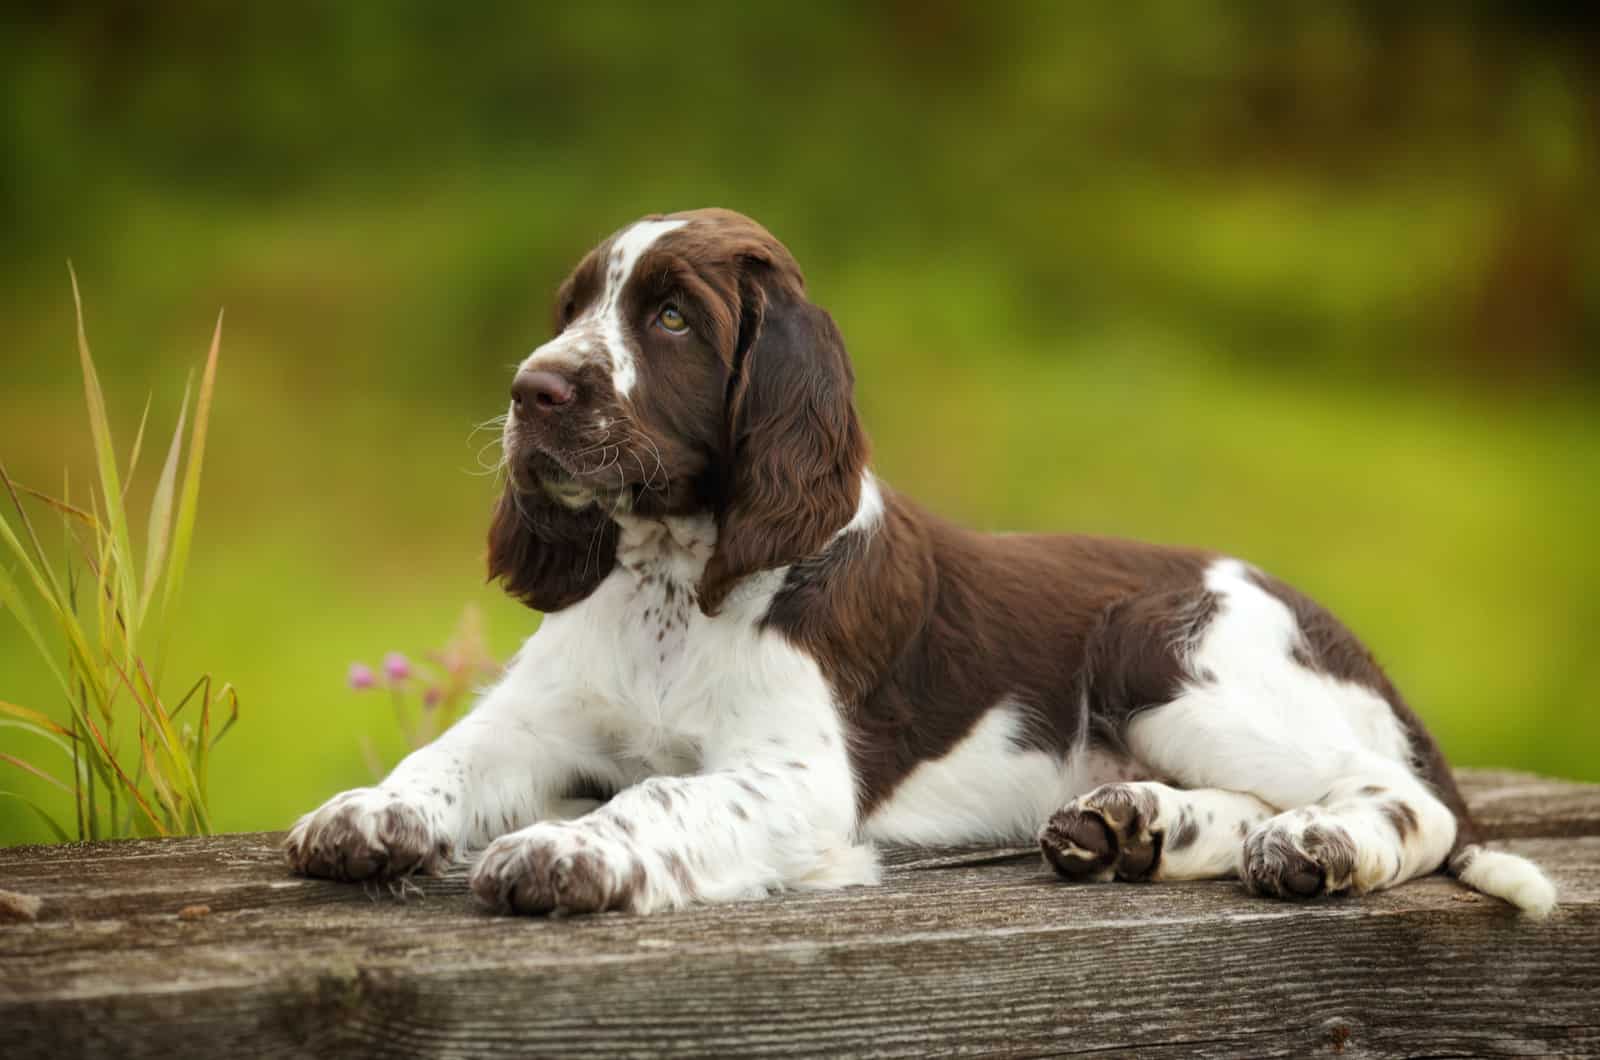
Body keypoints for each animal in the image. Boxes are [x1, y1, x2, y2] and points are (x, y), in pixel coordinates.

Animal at [284, 209, 1548, 922]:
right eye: (573, 306)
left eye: (674, 320)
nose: (529, 390)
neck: (671, 585)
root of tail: (1342, 633)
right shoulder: (538, 720)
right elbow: (443, 757)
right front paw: (363, 815)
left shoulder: (800, 778)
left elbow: (659, 792)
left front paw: (562, 851)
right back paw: (1133, 824)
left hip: (1165, 649)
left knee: (1412, 803)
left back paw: (1316, 849)